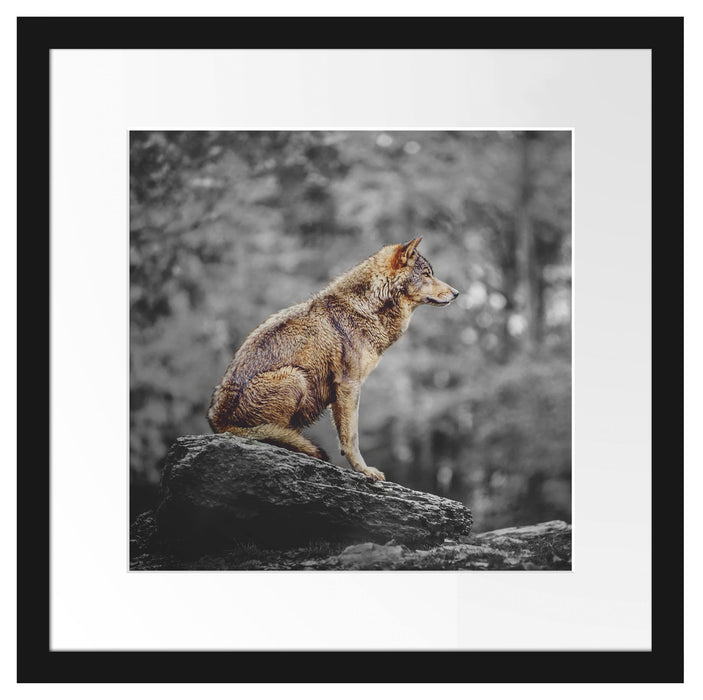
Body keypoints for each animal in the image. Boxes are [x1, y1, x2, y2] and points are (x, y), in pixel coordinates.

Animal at [207, 237, 459, 481]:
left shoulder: (342, 391)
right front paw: (364, 470)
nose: (457, 293)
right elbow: (351, 437)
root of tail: (217, 421)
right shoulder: (349, 385)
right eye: (426, 274)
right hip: (295, 377)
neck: (365, 308)